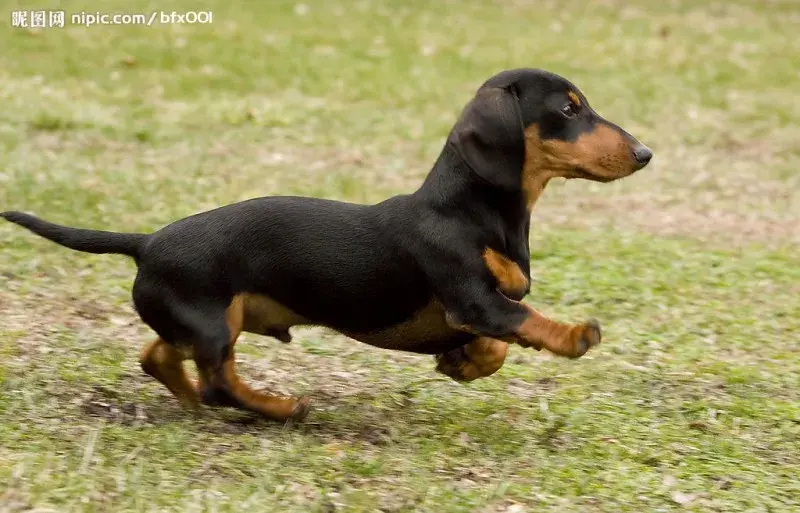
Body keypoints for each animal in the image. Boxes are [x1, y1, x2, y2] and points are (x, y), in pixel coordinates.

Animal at [1, 68, 648, 420]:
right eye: (568, 109)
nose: (644, 153)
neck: (471, 211)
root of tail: (147, 241)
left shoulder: (477, 312)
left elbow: (497, 347)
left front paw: (459, 364)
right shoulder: (475, 300)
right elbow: (527, 322)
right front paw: (573, 335)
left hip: (206, 321)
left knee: (161, 358)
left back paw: (190, 401)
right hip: (214, 321)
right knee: (218, 383)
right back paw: (281, 407)